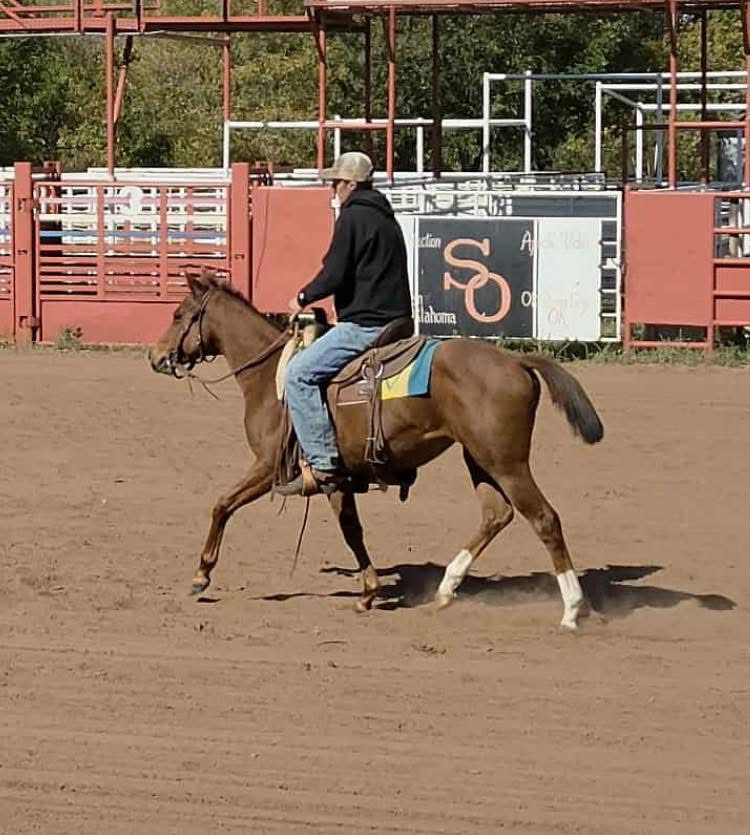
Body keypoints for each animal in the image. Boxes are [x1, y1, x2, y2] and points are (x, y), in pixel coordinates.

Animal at [149, 270, 604, 630]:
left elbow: (222, 504)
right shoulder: (334, 478)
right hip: (479, 458)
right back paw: (446, 589)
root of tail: (516, 361)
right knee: (496, 515)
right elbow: (352, 530)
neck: (270, 378)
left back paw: (572, 610)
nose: (156, 357)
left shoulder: (269, 467)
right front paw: (368, 591)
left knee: (544, 519)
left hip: (507, 462)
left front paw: (201, 574)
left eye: (178, 315)